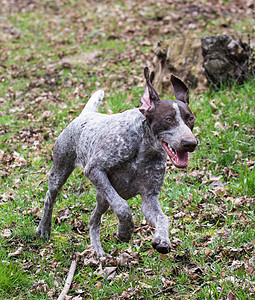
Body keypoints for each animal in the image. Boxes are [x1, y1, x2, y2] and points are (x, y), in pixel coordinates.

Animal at [36, 67, 197, 256]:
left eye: (190, 119)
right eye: (169, 119)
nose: (190, 143)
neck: (143, 149)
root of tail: (86, 114)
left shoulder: (149, 197)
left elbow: (163, 218)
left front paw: (162, 240)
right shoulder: (95, 171)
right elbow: (123, 208)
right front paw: (124, 231)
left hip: (102, 198)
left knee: (93, 220)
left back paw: (99, 253)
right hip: (61, 173)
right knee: (50, 198)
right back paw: (44, 228)